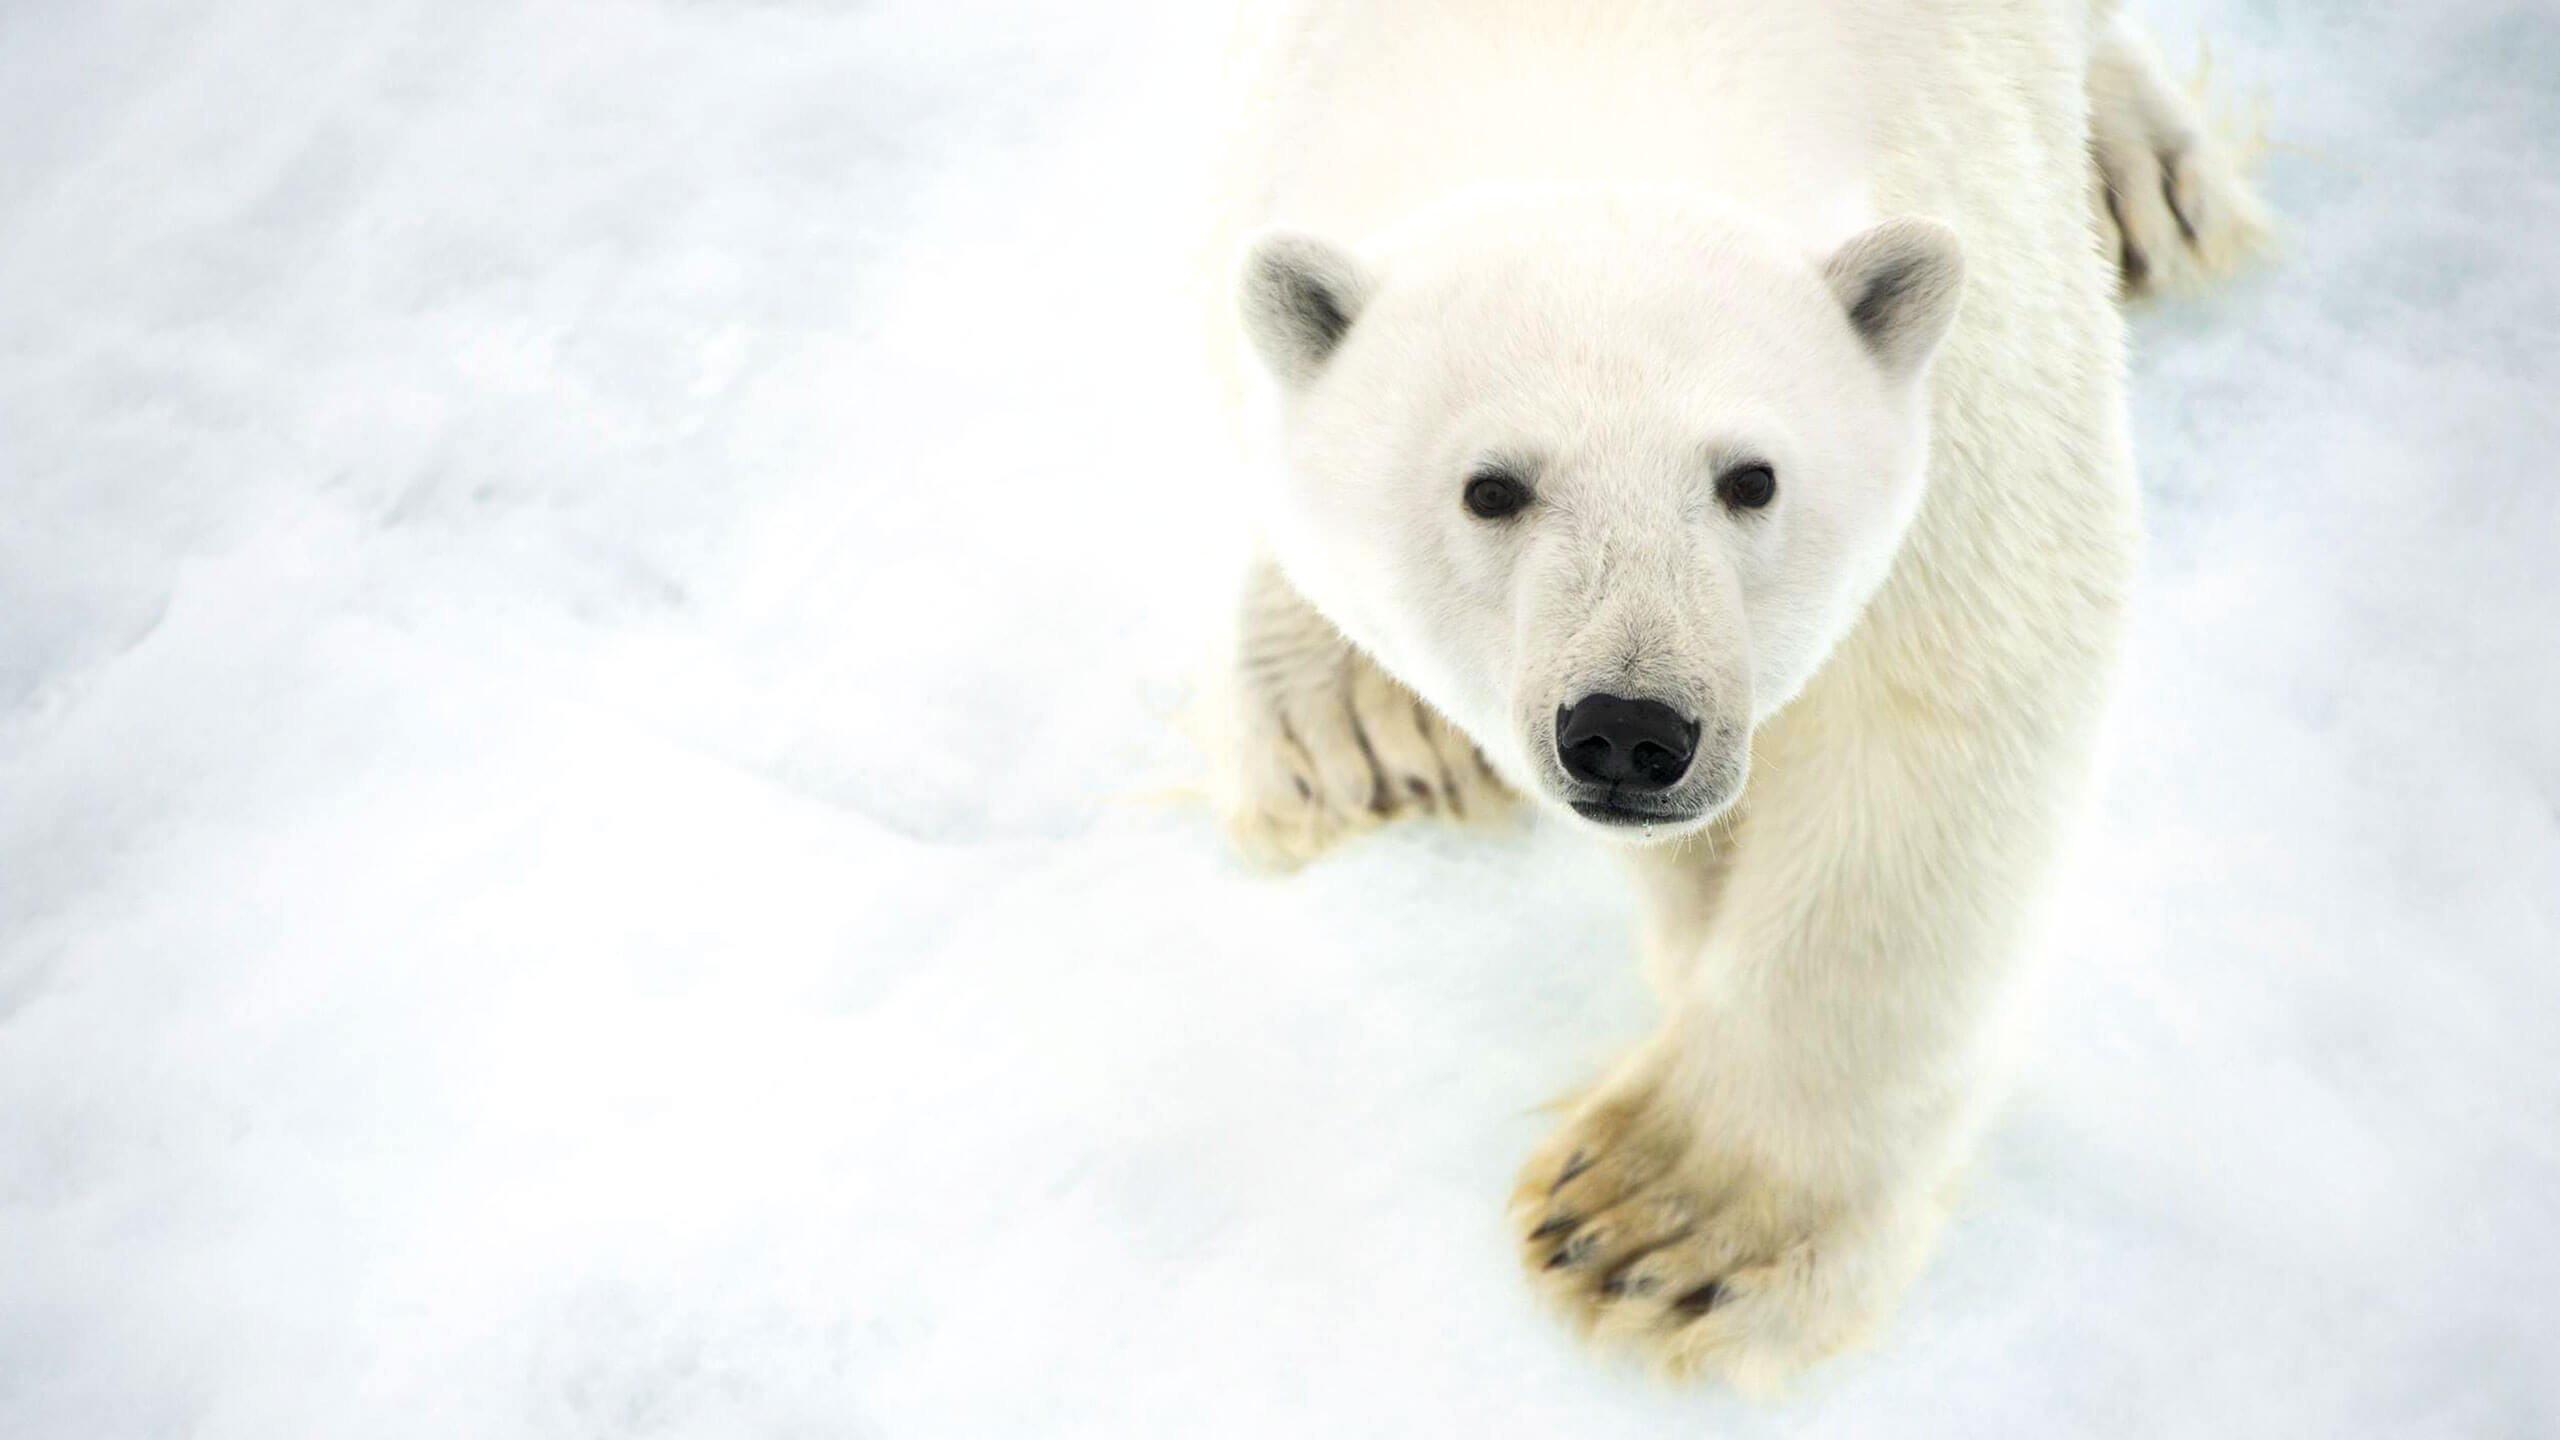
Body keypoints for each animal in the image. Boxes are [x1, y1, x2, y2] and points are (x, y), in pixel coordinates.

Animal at [1198, 0, 2269, 1387]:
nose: (1629, 730)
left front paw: (1663, 1230)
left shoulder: (1976, 306)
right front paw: (1354, 714)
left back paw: (2145, 174)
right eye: (1490, 488)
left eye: (1749, 478)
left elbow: (1945, 694)